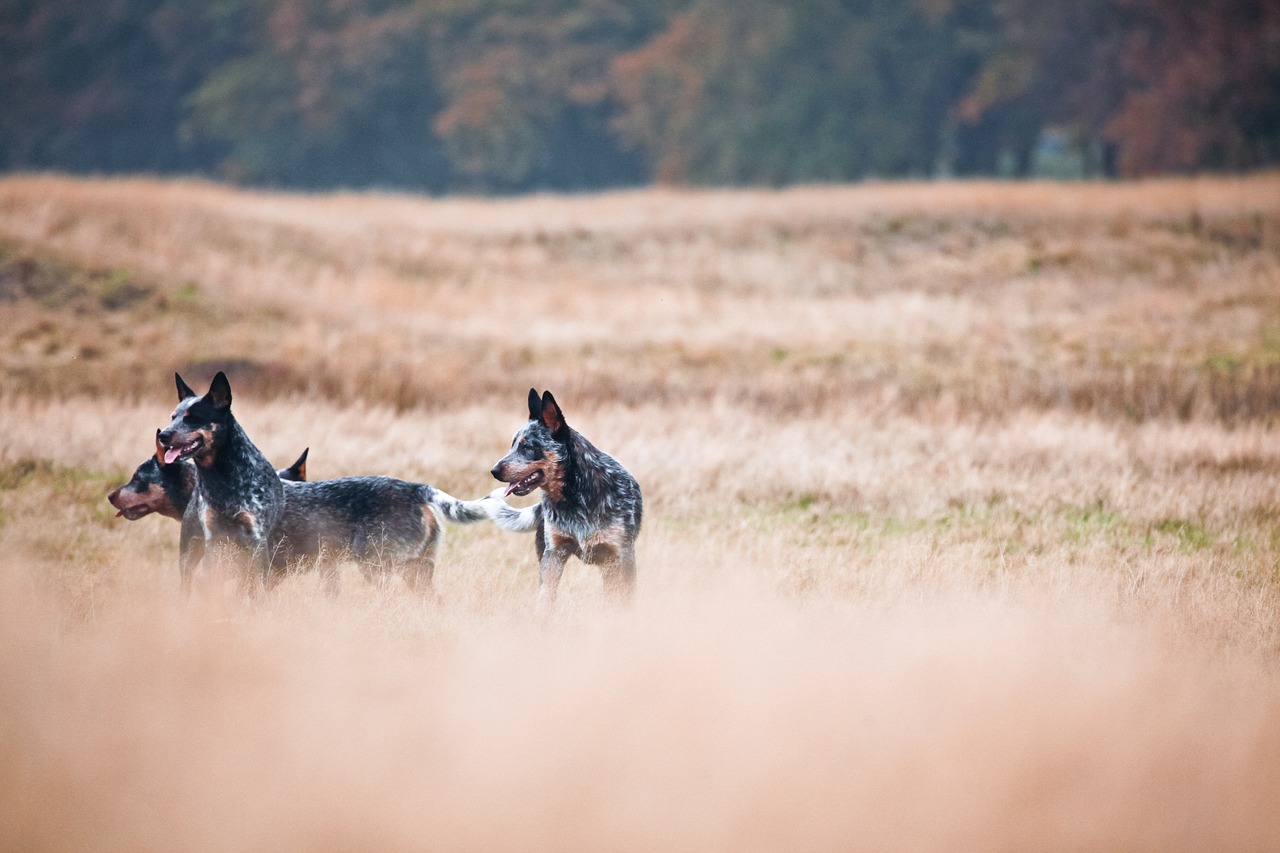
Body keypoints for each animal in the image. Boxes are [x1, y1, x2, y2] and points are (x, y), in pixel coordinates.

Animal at [481, 389, 640, 607]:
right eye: (512, 445)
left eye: (527, 447)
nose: (494, 471)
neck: (575, 498)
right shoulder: (553, 554)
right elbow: (545, 600)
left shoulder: (622, 554)